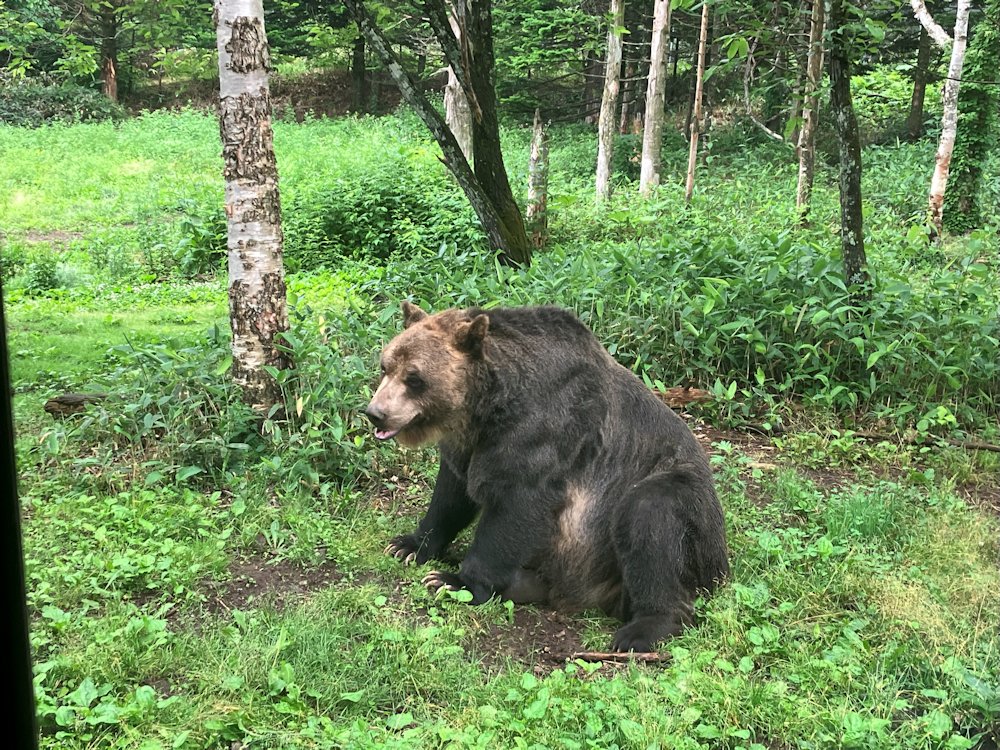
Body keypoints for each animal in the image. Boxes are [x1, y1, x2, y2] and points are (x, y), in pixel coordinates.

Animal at [365, 302, 729, 652]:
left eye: (414, 378)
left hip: (683, 513)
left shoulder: (542, 433)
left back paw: (642, 629)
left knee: (650, 518)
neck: (486, 409)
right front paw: (408, 545)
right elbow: (451, 495)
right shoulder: (468, 446)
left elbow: (515, 509)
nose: (375, 413)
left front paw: (454, 580)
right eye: (386, 367)